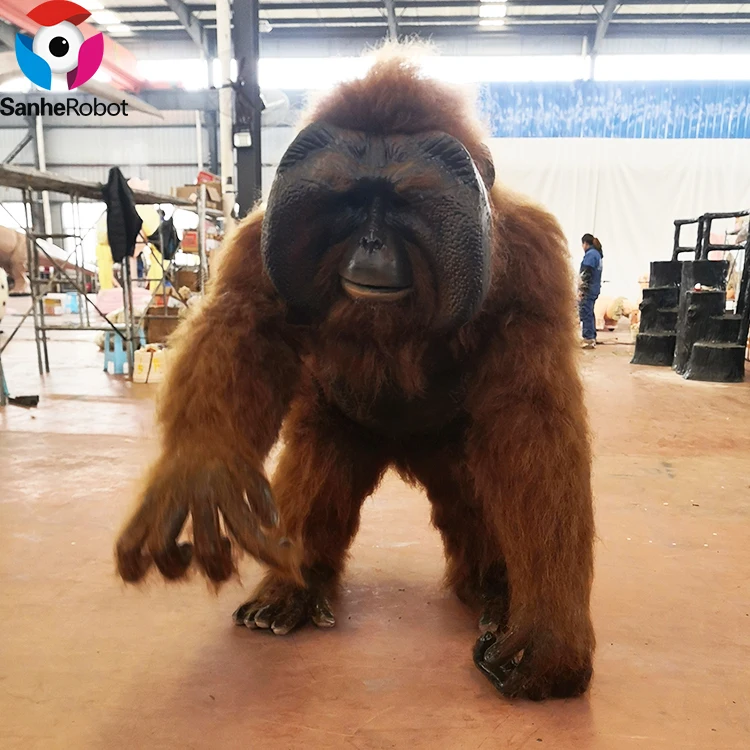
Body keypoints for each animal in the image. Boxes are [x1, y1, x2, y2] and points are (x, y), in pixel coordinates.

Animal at [115, 49, 595, 702]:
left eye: (402, 207)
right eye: (348, 204)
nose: (369, 241)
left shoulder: (534, 266)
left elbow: (533, 424)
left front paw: (546, 643)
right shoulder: (257, 247)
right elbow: (242, 327)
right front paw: (202, 469)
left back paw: (495, 590)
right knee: (319, 464)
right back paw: (292, 589)